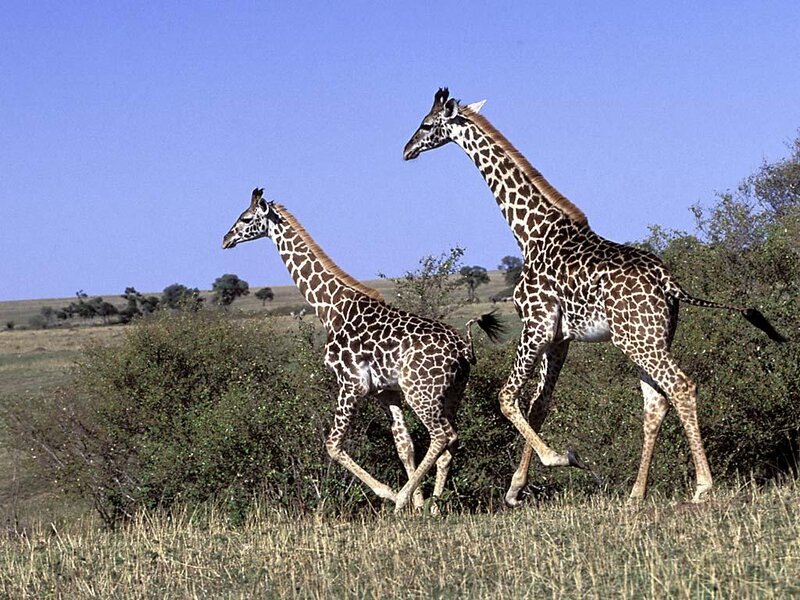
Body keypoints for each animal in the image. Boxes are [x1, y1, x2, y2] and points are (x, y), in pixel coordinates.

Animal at [223, 187, 503, 513]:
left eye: (245, 218)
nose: (225, 239)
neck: (329, 307)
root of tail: (463, 347)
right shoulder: (384, 391)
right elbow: (403, 445)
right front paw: (417, 505)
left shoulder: (351, 383)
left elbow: (332, 444)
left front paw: (394, 496)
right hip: (452, 393)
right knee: (449, 442)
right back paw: (434, 505)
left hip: (420, 392)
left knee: (441, 435)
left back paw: (403, 500)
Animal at [403, 88, 787, 504]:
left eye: (427, 124)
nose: (407, 149)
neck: (530, 233)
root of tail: (670, 284)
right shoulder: (560, 337)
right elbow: (539, 405)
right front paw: (517, 487)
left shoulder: (535, 325)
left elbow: (507, 397)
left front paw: (557, 460)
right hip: (652, 337)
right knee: (656, 403)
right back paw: (636, 493)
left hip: (637, 340)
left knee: (680, 386)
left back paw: (702, 486)